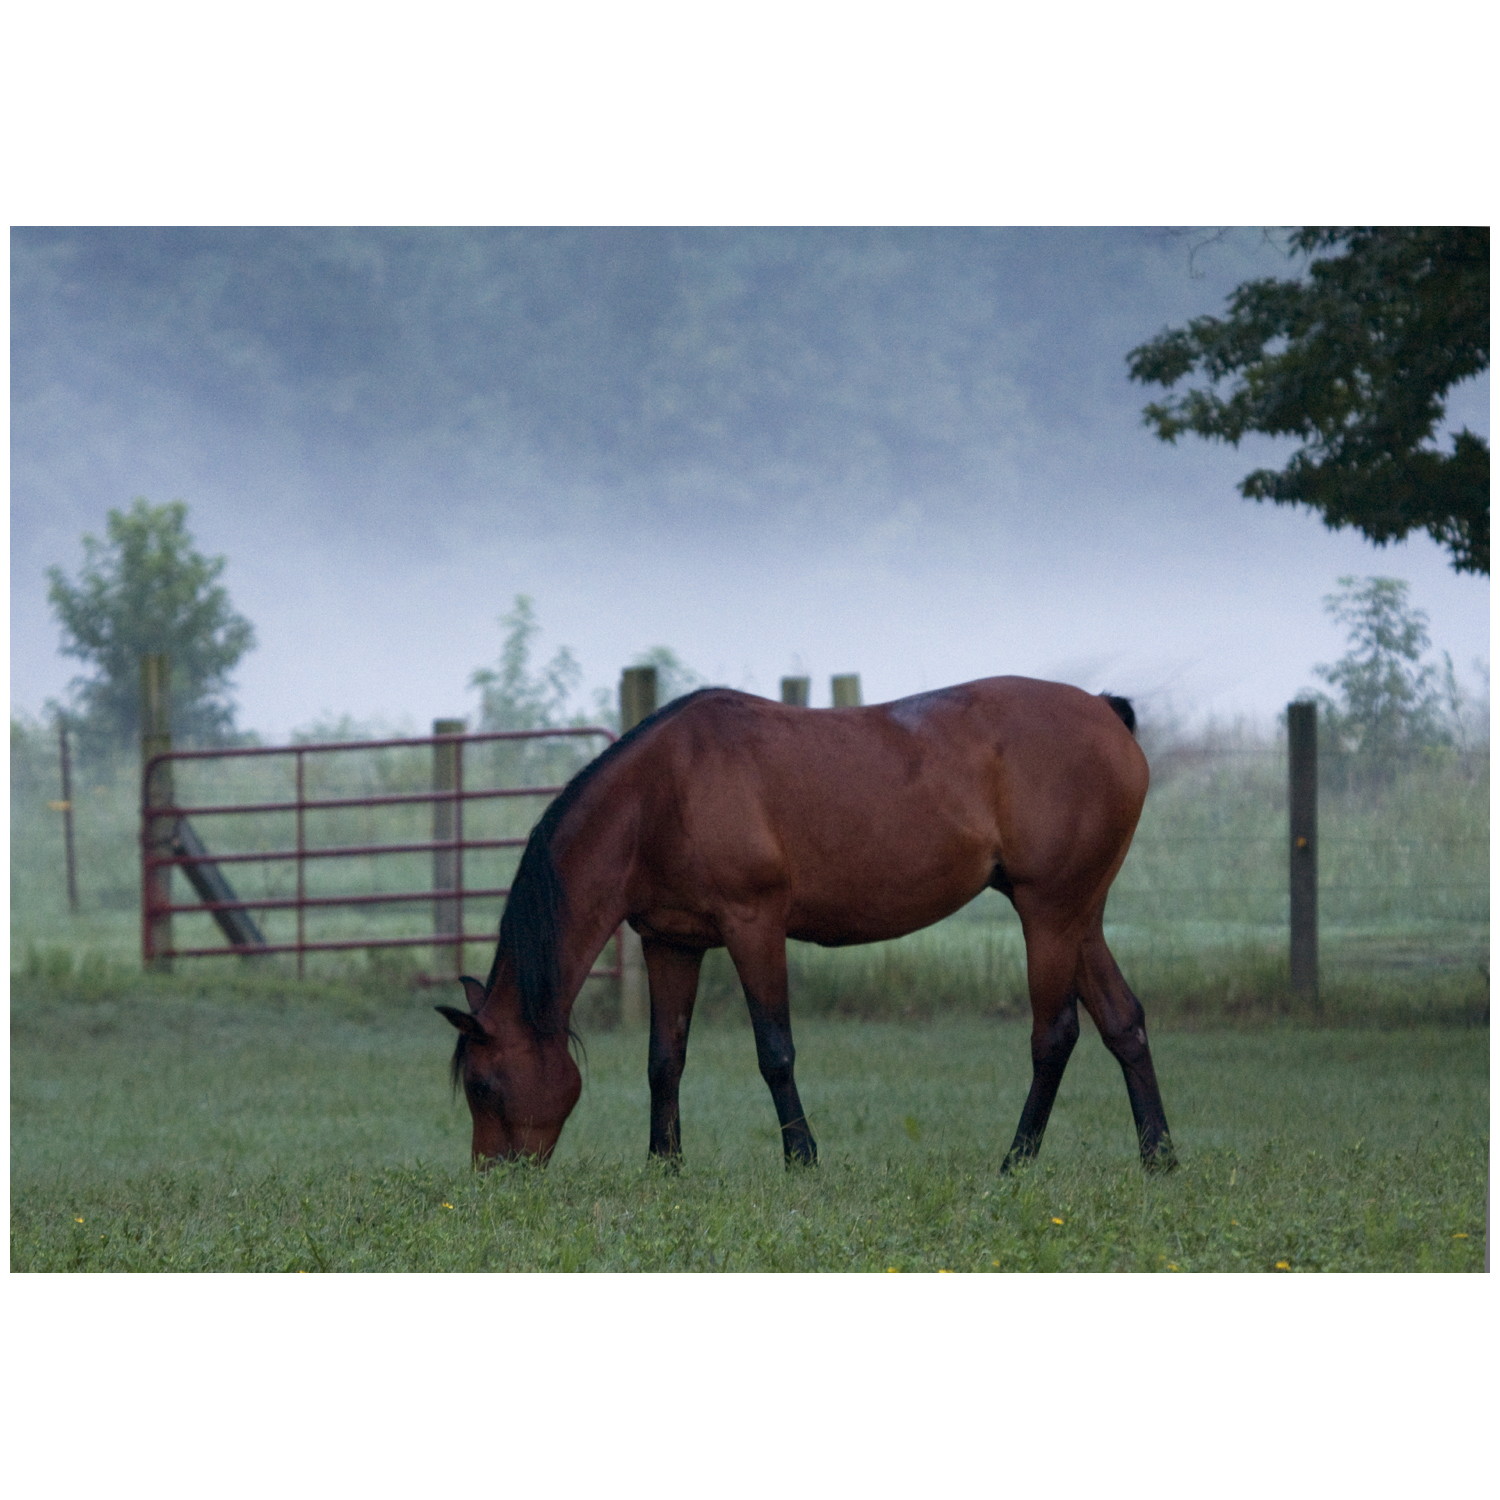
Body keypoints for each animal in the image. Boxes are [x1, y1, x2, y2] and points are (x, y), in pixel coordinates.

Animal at [436, 676, 1174, 1173]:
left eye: (482, 1085)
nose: (491, 1180)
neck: (657, 796)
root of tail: (1106, 712)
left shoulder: (753, 924)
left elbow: (775, 1050)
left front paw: (802, 1160)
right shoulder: (671, 942)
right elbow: (664, 1059)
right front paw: (664, 1168)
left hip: (1048, 911)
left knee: (1055, 1035)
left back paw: (1015, 1163)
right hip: (1077, 915)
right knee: (1124, 1021)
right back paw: (1158, 1158)